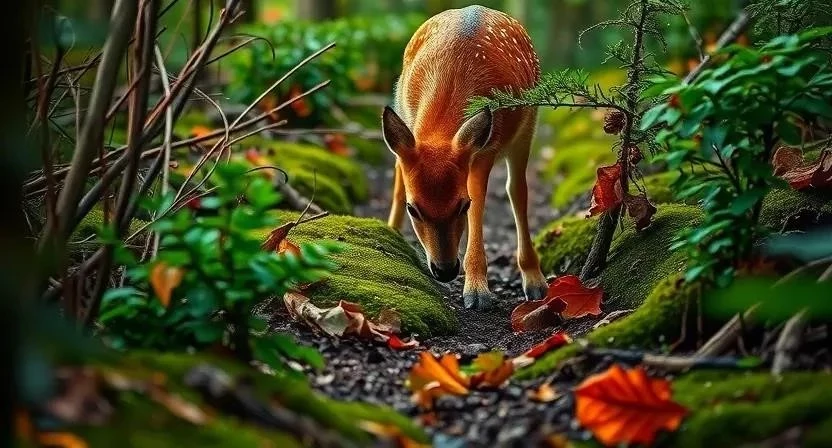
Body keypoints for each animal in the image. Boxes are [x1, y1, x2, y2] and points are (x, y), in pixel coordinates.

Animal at [382, 5, 546, 310]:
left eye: (462, 205)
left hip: (528, 122)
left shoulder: (487, 147)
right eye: (414, 209)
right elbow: (401, 183)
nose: (445, 270)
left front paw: (477, 290)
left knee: (517, 190)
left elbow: (479, 201)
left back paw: (534, 280)